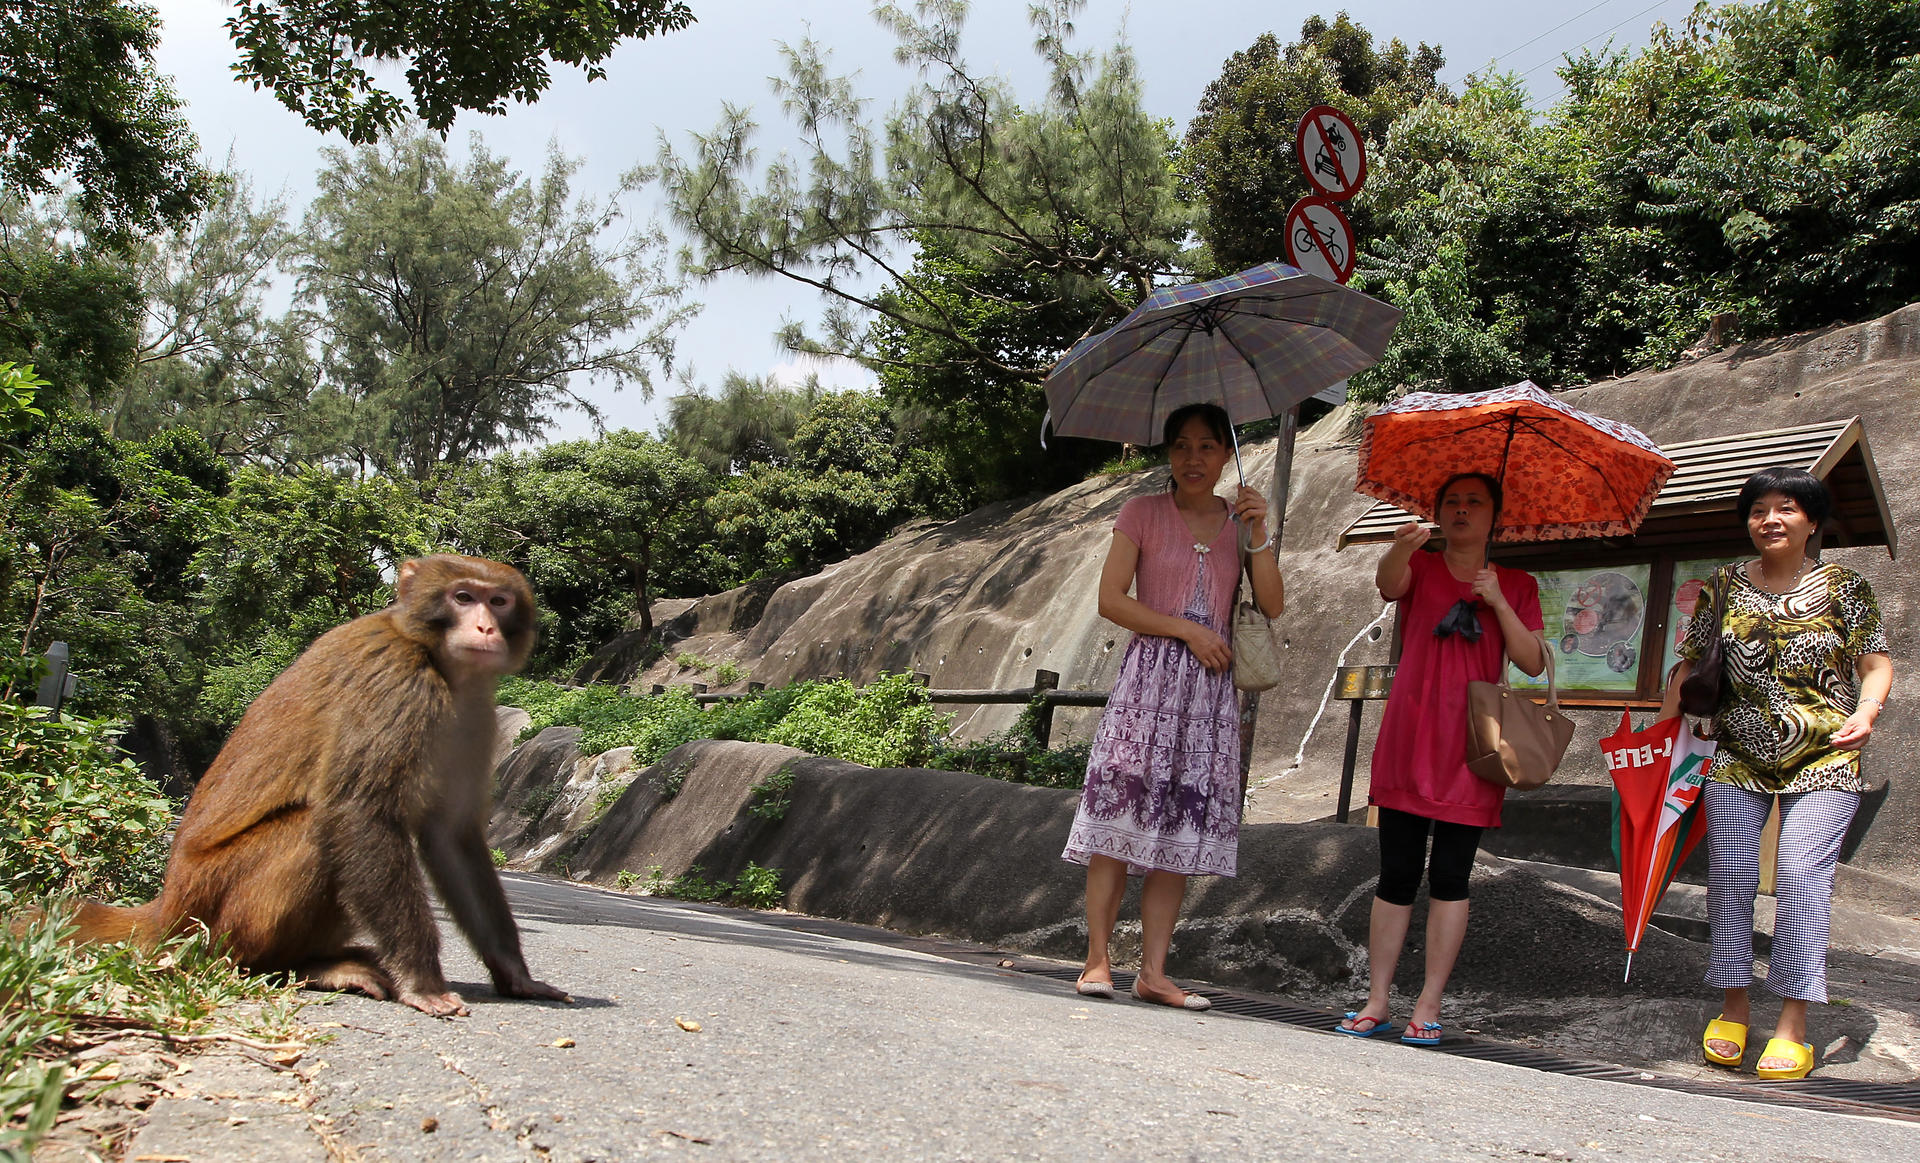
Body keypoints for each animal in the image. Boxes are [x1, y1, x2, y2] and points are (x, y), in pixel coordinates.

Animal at [74, 556, 568, 1020]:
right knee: (316, 826)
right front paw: (422, 980)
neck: (436, 661)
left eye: (498, 601)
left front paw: (514, 972)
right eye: (463, 597)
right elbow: (360, 811)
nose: (485, 627)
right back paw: (273, 966)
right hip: (213, 906)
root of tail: (168, 907)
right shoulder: (397, 681)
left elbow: (450, 836)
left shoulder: (476, 713)